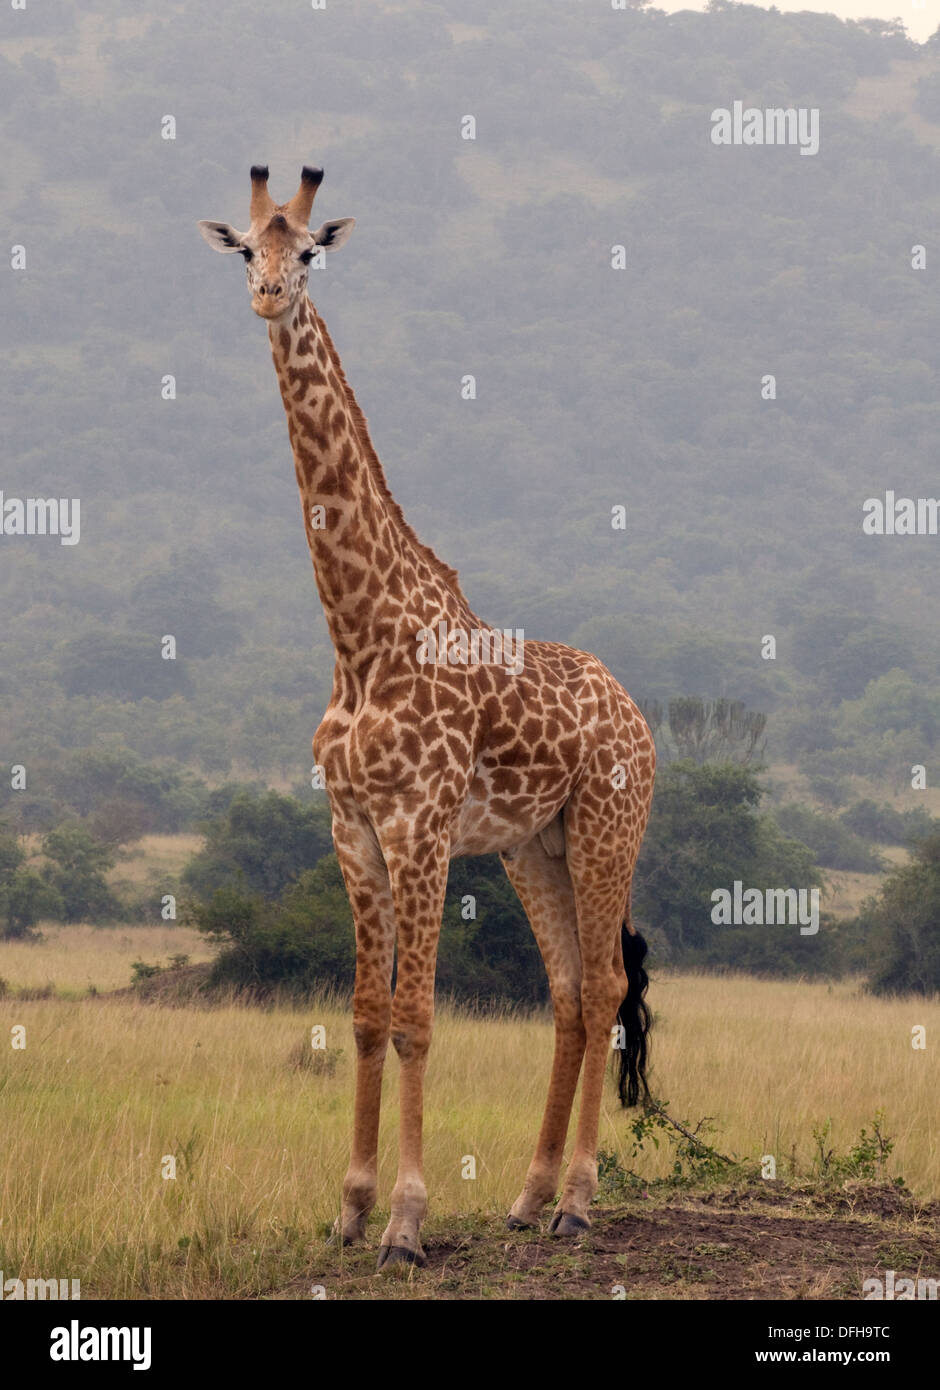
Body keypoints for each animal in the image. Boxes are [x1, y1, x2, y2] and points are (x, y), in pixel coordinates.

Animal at [198, 162, 653, 1273]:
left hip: (608, 829)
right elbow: (365, 1015)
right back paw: (528, 1199)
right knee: (568, 995)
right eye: (247, 250)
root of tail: (640, 716)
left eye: (310, 252)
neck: (360, 638)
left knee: (607, 989)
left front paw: (406, 1221)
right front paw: (350, 1209)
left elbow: (416, 1016)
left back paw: (580, 1202)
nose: (268, 296)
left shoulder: (421, 824)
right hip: (536, 846)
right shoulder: (352, 827)